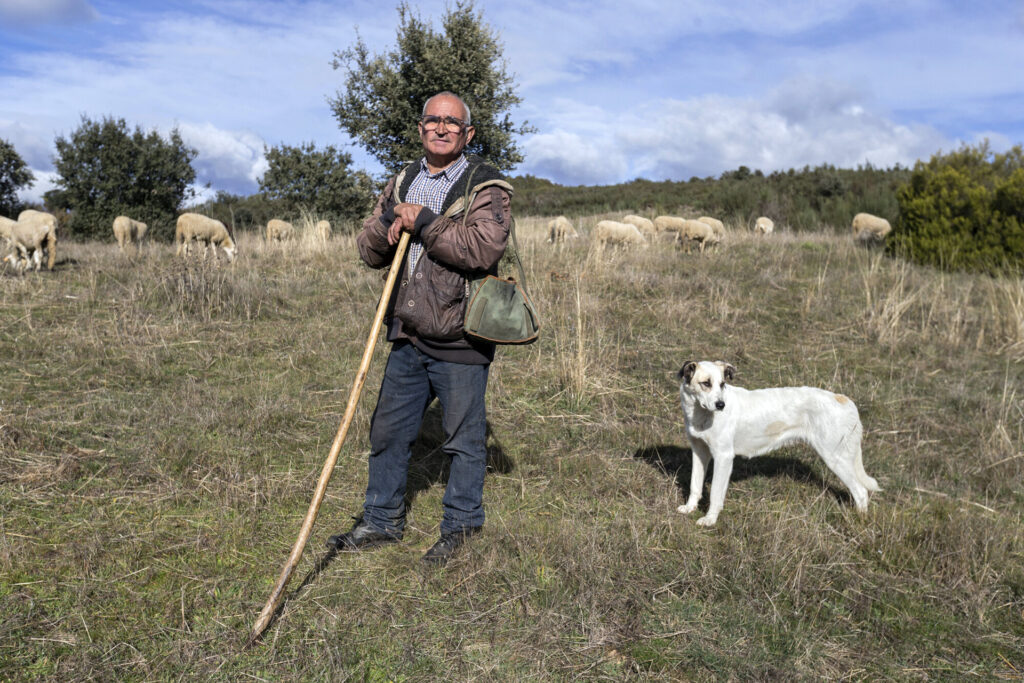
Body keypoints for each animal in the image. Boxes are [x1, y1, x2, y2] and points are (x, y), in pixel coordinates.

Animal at [671, 360, 880, 528]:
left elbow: (715, 494)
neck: (700, 415)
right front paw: (690, 508)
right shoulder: (700, 452)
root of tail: (844, 400)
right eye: (706, 383)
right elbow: (695, 485)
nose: (721, 405)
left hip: (835, 458)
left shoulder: (723, 458)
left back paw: (860, 522)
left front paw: (710, 520)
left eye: (722, 384)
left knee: (861, 492)